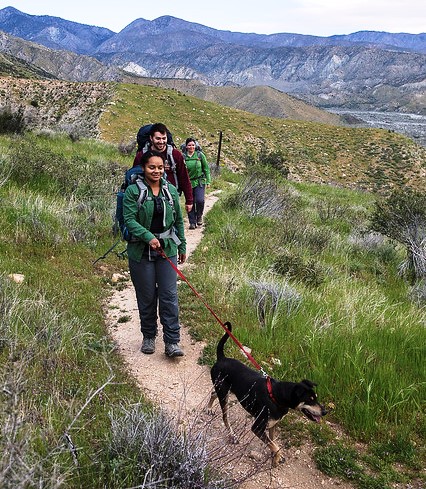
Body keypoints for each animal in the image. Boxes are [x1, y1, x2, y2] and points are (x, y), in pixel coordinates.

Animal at [208, 320, 328, 466]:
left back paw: (209, 408)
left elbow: (273, 442)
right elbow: (275, 446)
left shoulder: (273, 424)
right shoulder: (257, 428)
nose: (325, 412)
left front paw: (274, 456)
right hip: (224, 393)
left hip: (228, 392)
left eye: (316, 397)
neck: (276, 396)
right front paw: (276, 459)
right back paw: (232, 435)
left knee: (213, 393)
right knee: (225, 417)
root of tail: (221, 358)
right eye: (310, 399)